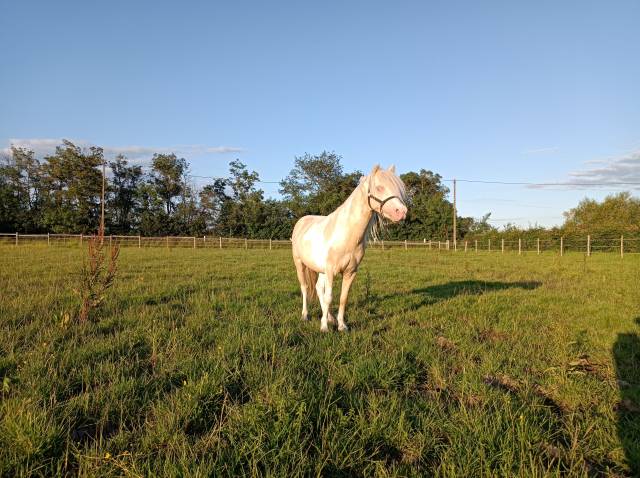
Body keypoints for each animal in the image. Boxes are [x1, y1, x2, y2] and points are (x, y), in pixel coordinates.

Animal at [291, 164, 408, 332]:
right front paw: (324, 328)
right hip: (300, 264)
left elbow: (342, 298)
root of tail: (302, 221)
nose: (402, 212)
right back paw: (305, 316)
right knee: (305, 287)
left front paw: (341, 325)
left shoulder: (350, 272)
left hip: (320, 270)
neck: (345, 234)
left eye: (398, 189)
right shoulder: (330, 271)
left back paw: (330, 317)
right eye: (379, 188)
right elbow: (329, 297)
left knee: (319, 289)